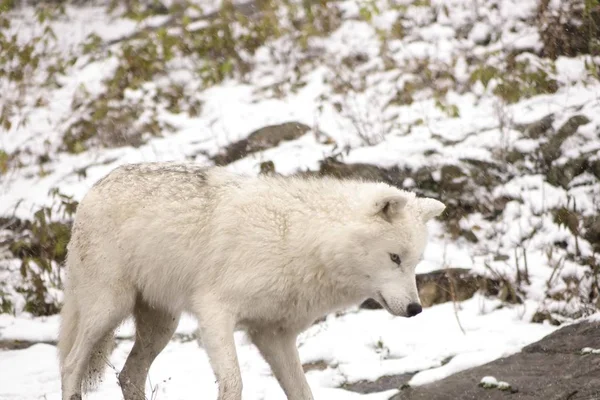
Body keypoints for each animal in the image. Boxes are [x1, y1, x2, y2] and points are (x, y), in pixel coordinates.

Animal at [57, 162, 446, 400]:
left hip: (162, 327)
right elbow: (234, 385)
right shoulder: (215, 313)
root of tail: (94, 188)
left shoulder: (274, 336)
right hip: (110, 309)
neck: (300, 240)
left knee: (128, 375)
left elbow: (302, 392)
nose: (416, 309)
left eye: (414, 262)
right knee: (71, 363)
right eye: (394, 258)